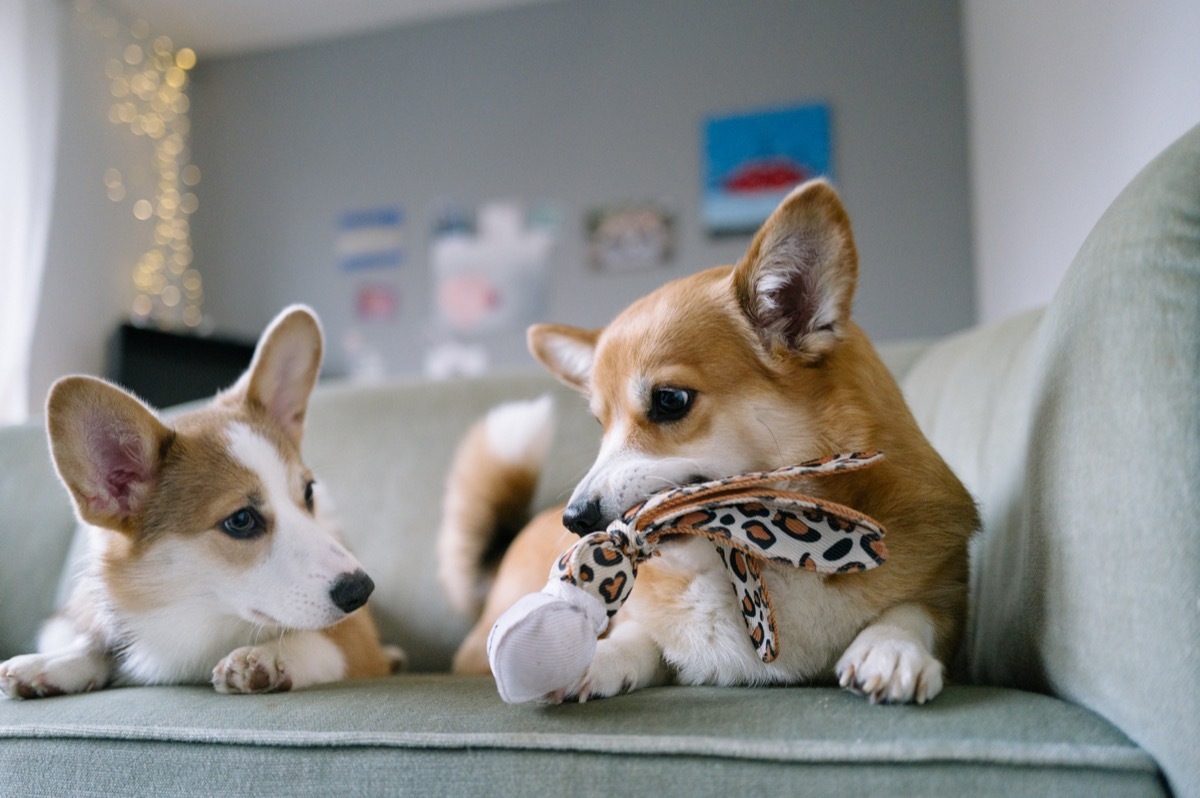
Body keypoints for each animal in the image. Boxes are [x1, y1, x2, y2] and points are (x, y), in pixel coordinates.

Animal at [0, 304, 403, 696]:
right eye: (240, 520)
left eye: (308, 493)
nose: (362, 590)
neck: (204, 622)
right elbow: (100, 644)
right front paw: (50, 663)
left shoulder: (357, 639)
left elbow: (318, 644)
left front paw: (267, 657)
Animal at [441, 180, 974, 705]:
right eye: (600, 423)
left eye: (670, 400)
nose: (575, 520)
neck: (756, 554)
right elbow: (637, 637)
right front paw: (590, 657)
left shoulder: (949, 596)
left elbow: (915, 611)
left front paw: (891, 647)